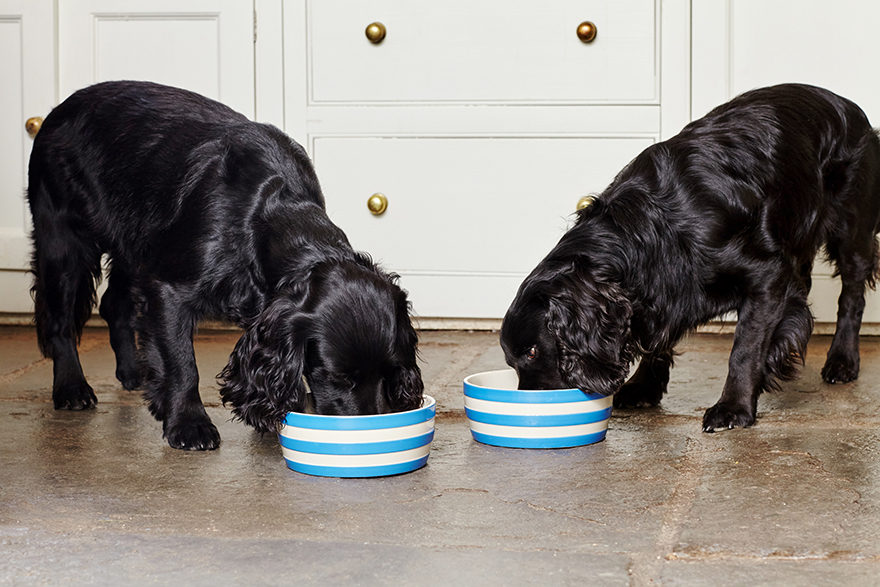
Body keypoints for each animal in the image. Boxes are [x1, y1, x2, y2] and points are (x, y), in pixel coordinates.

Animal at [29, 80, 424, 450]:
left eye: (390, 372)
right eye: (338, 377)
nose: (372, 431)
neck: (266, 214)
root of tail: (57, 111)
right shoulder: (170, 291)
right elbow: (182, 364)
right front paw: (188, 424)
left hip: (134, 245)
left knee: (114, 304)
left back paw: (133, 372)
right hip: (63, 242)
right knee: (59, 321)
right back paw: (71, 388)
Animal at [502, 84, 880, 432]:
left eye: (533, 352)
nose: (530, 411)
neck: (651, 228)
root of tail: (848, 106)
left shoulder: (766, 276)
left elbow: (745, 349)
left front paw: (733, 407)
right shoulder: (663, 290)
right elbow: (657, 338)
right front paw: (643, 386)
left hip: (851, 233)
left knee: (852, 296)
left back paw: (842, 360)